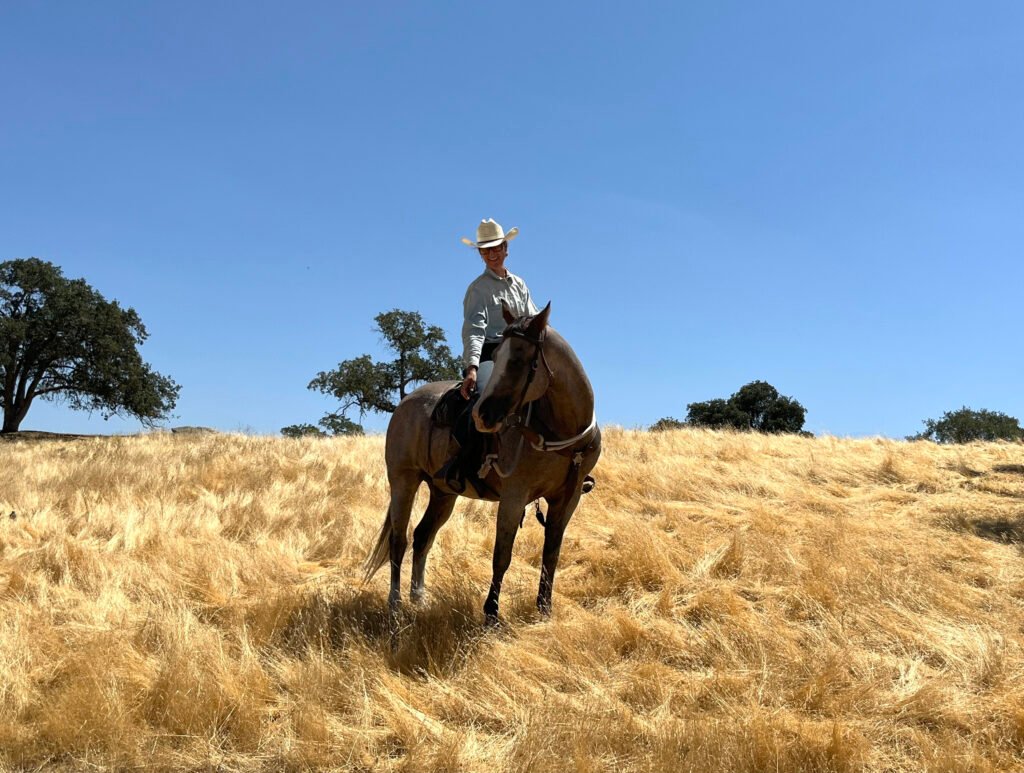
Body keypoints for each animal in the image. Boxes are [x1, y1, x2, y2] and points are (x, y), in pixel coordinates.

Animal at [364, 298, 598, 626]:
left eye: (518, 360)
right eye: (497, 356)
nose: (481, 416)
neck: (561, 432)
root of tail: (406, 402)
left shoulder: (568, 498)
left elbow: (551, 554)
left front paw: (544, 609)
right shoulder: (514, 496)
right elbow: (502, 556)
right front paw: (491, 615)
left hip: (442, 493)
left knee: (423, 536)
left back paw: (419, 599)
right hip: (403, 481)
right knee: (399, 541)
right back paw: (395, 606)